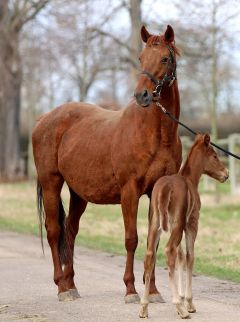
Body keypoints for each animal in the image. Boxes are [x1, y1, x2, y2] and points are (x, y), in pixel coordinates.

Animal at [140, 134, 228, 320]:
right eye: (215, 156)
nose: (226, 174)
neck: (189, 179)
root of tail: (165, 188)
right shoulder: (191, 224)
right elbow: (189, 256)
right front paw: (188, 302)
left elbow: (181, 257)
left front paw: (181, 297)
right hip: (178, 224)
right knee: (169, 251)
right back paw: (180, 308)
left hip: (156, 223)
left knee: (151, 254)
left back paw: (144, 307)